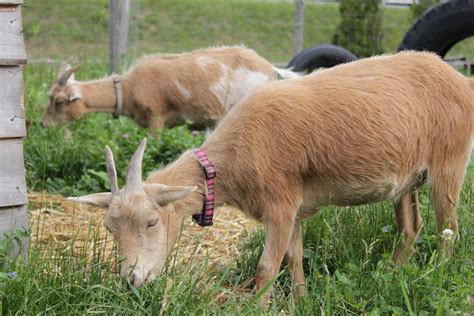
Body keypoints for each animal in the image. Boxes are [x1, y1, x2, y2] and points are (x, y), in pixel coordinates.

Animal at [41, 45, 300, 128]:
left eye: (59, 101)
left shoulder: (156, 117)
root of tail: (270, 68)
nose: (43, 124)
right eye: (49, 96)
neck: (127, 88)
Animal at [68, 51, 472, 304]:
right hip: (407, 179)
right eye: (110, 229)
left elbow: (265, 269)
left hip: (448, 163)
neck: (229, 161)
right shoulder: (293, 210)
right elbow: (294, 259)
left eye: (152, 222)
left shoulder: (280, 204)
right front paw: (300, 301)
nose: (132, 280)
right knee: (410, 228)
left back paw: (437, 277)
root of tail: (461, 80)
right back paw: (394, 274)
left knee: (447, 229)